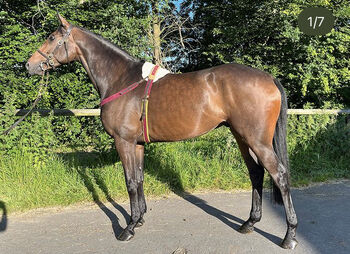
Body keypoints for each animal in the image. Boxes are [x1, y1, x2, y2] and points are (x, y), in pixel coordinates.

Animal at [25, 14, 298, 249]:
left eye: (51, 37)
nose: (29, 65)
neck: (121, 79)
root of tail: (269, 78)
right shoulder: (136, 144)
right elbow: (139, 179)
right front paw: (139, 219)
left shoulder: (123, 142)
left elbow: (130, 182)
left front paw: (128, 228)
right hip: (242, 137)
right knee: (256, 173)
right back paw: (249, 223)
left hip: (257, 140)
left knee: (280, 175)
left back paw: (289, 236)